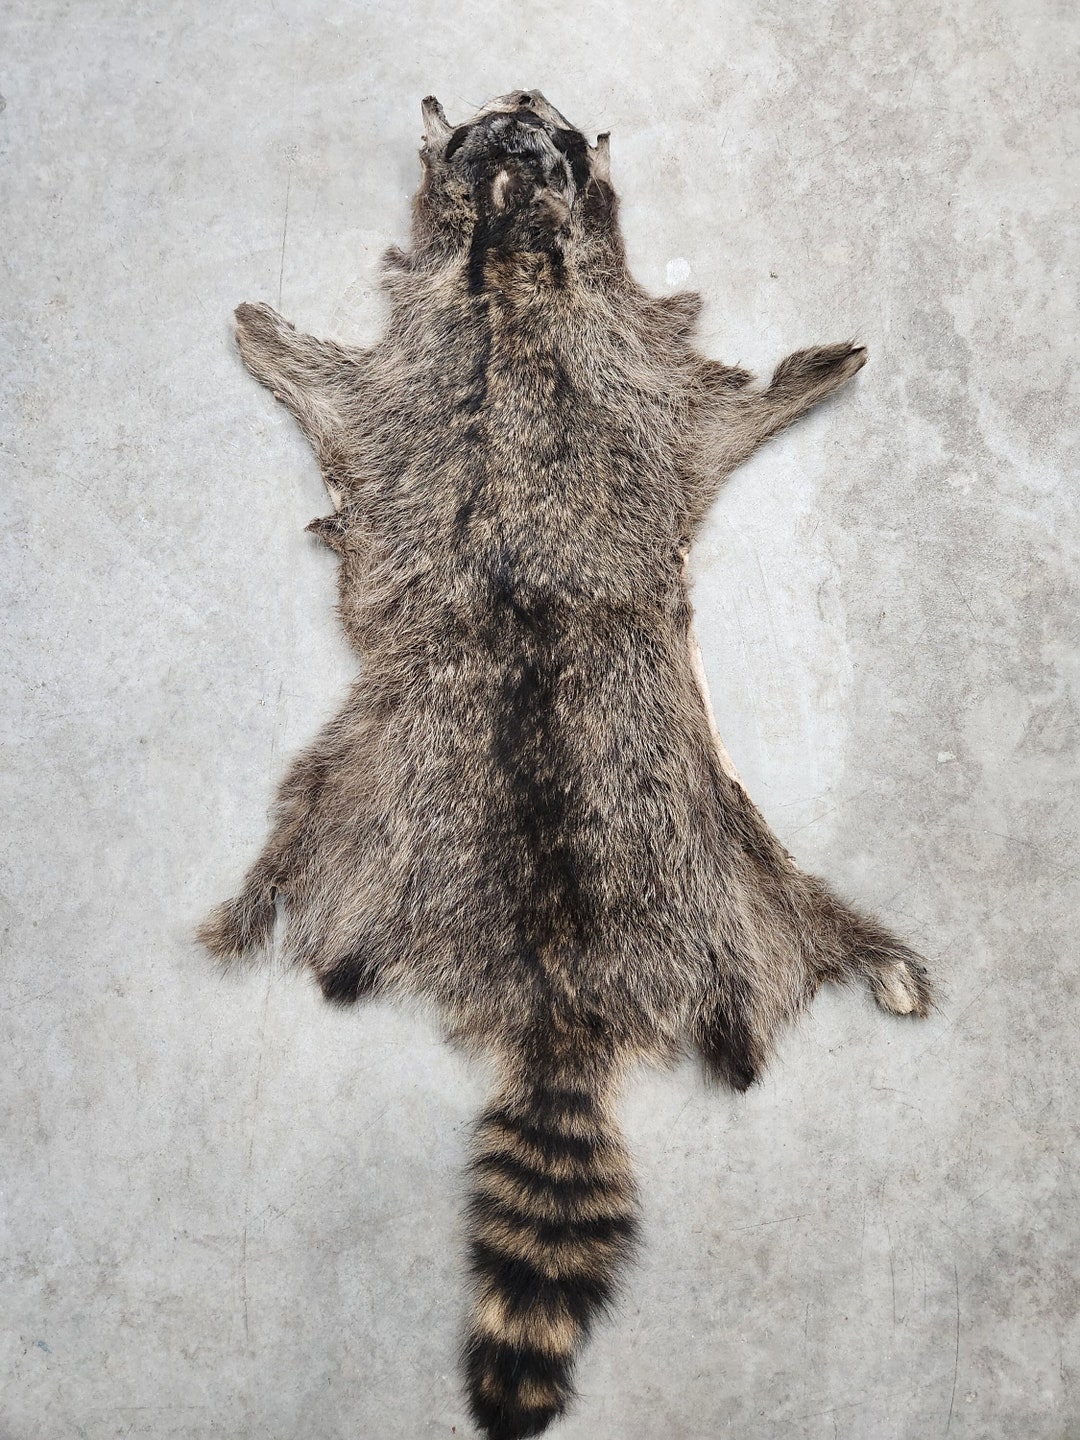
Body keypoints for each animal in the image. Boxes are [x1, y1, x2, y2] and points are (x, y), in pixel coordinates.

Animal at [199, 90, 932, 1440]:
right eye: (506, 123)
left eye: (545, 125)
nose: (521, 106)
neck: (519, 257)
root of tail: (562, 989)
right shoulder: (461, 365)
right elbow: (331, 378)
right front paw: (272, 338)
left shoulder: (604, 361)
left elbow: (723, 405)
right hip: (395, 802)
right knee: (299, 829)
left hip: (720, 860)